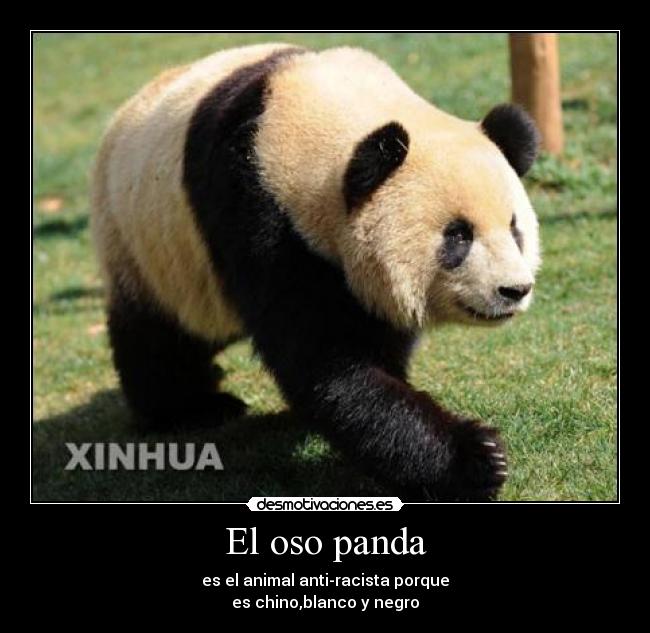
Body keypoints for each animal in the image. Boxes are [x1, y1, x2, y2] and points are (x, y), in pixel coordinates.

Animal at [91, 43, 541, 501]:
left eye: (514, 228)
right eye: (458, 235)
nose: (514, 289)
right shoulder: (260, 217)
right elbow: (328, 365)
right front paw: (477, 457)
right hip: (141, 245)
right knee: (157, 338)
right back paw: (189, 409)